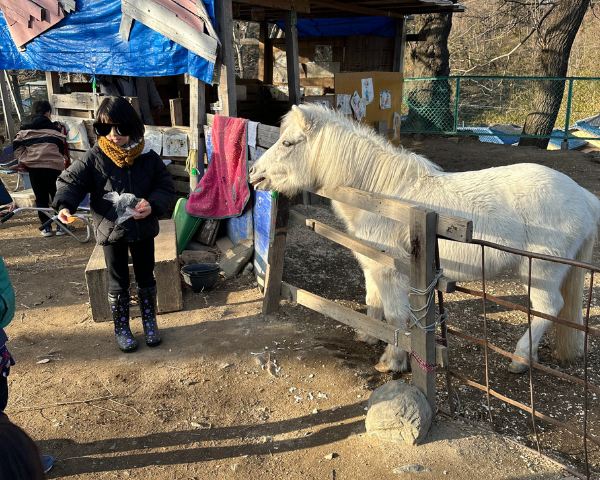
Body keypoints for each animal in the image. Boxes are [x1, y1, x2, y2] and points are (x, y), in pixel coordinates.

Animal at [250, 104, 600, 376]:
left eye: (289, 143)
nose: (254, 174)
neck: (382, 197)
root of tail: (584, 197)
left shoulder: (392, 271)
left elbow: (395, 315)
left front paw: (393, 360)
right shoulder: (373, 265)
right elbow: (373, 302)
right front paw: (368, 336)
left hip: (540, 272)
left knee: (547, 308)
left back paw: (519, 359)